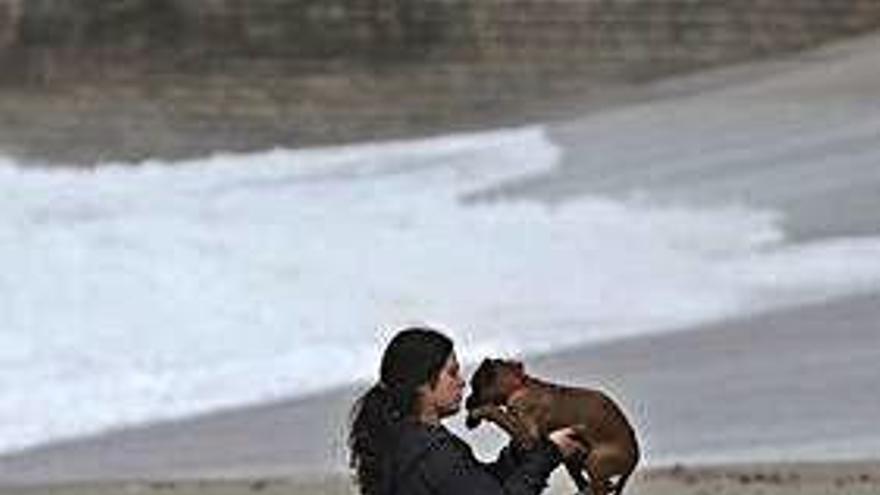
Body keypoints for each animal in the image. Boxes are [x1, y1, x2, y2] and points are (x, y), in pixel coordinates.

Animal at [468, 360, 640, 495]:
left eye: (474, 386)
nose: (467, 401)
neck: (520, 387)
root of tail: (635, 458)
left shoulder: (529, 434)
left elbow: (500, 415)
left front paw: (482, 410)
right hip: (578, 455)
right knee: (590, 481)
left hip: (596, 460)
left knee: (599, 487)